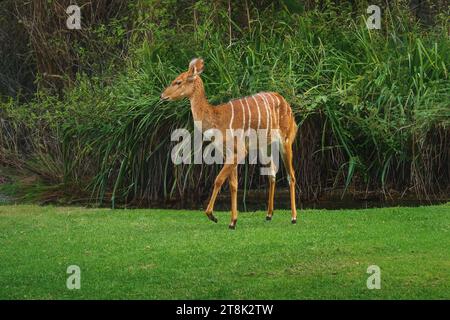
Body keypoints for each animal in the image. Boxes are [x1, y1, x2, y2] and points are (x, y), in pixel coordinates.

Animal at [162, 58, 298, 229]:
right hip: (264, 146)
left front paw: (212, 215)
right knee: (272, 173)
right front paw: (233, 221)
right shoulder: (228, 153)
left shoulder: (239, 150)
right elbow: (233, 185)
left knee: (291, 175)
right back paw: (268, 215)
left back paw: (293, 217)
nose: (162, 95)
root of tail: (288, 106)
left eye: (178, 81)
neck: (217, 119)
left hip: (286, 141)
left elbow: (219, 179)